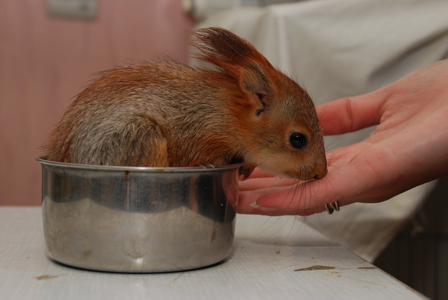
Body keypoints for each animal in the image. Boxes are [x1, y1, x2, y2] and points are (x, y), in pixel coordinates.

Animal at [43, 27, 328, 180]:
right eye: (298, 139)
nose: (322, 173)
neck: (225, 113)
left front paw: (245, 169)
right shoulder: (197, 135)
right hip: (137, 136)